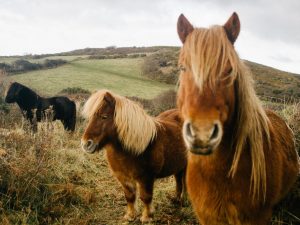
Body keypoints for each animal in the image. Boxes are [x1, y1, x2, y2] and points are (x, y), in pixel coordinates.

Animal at [81, 90, 186, 223]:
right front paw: (130, 216)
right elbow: (129, 196)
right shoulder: (123, 176)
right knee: (178, 180)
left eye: (104, 116)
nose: (86, 144)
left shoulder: (146, 178)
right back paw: (176, 199)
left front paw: (147, 217)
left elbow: (146, 197)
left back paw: (184, 201)